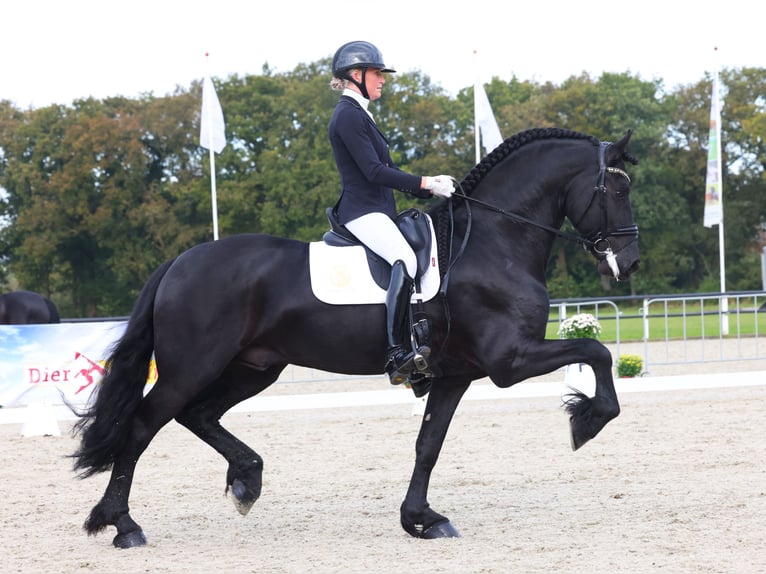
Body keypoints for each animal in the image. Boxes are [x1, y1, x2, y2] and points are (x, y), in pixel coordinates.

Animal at [70, 129, 640, 548]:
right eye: (618, 191)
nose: (629, 264)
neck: (492, 241)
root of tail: (179, 262)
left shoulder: (456, 374)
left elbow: (429, 444)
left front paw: (422, 519)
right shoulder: (509, 361)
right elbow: (597, 353)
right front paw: (586, 420)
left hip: (253, 368)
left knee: (198, 415)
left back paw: (246, 479)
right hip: (193, 367)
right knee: (143, 425)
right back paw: (122, 525)